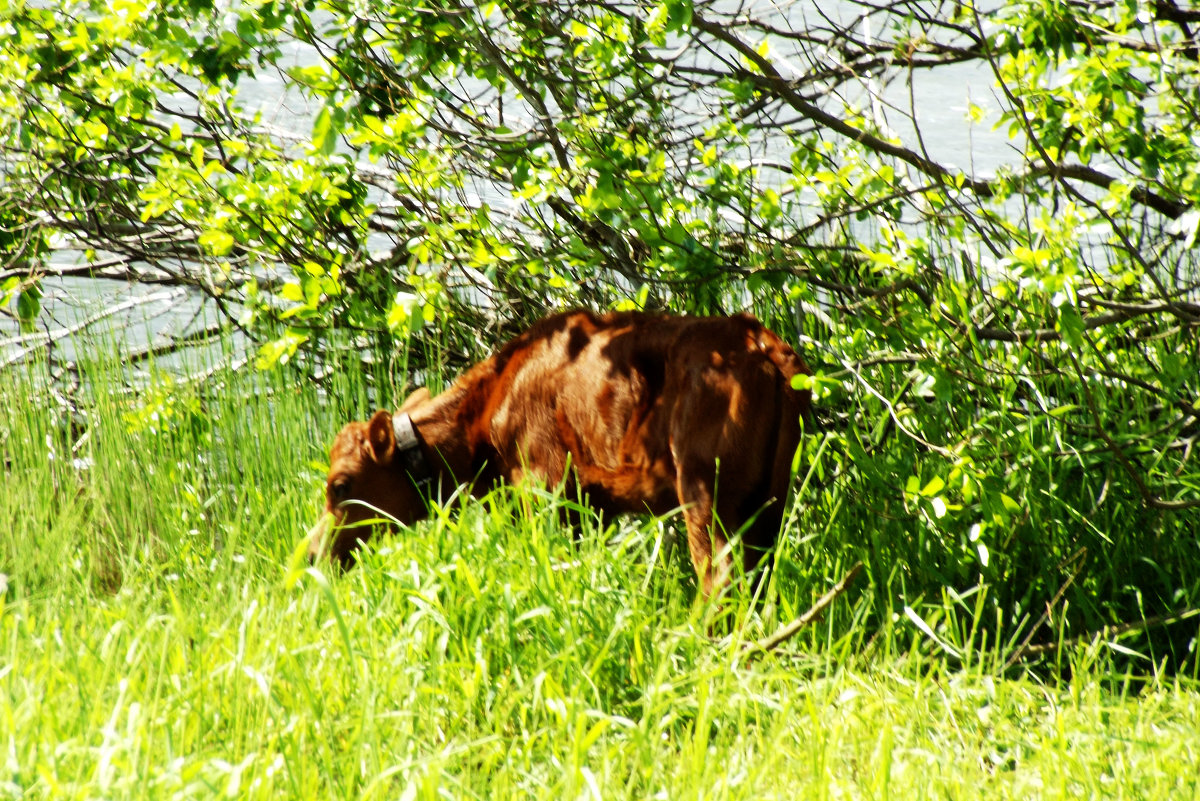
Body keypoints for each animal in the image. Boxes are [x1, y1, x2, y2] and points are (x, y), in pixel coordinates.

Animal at [309, 309, 816, 597]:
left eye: (340, 484)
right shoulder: (595, 504)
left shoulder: (546, 487)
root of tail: (766, 346)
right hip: (770, 496)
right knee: (760, 573)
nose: (313, 553)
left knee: (718, 575)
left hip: (704, 486)